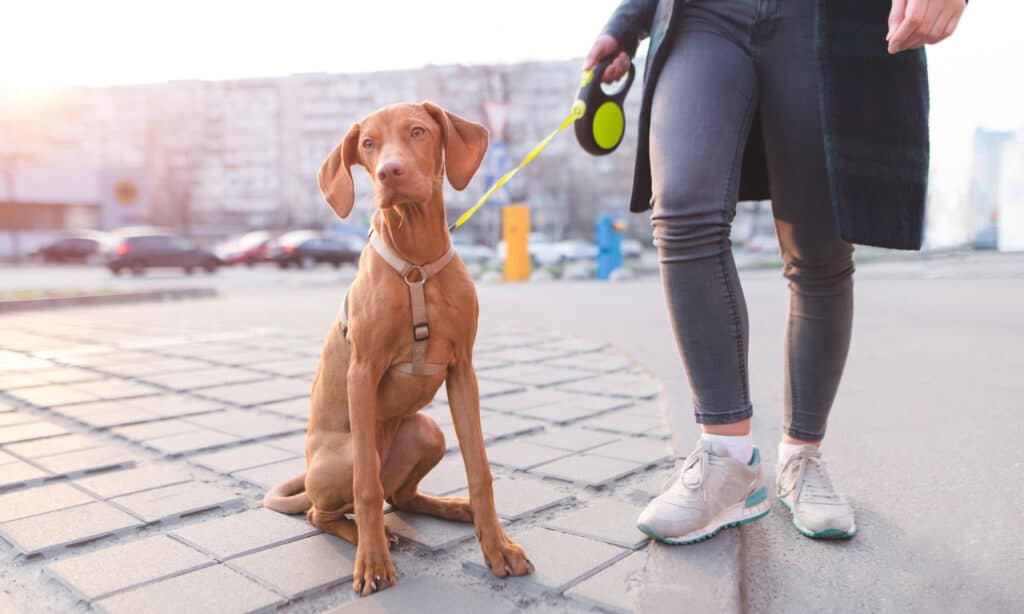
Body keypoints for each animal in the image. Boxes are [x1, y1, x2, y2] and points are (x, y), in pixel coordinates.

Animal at [264, 100, 536, 593]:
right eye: (369, 144)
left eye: (418, 131)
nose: (389, 171)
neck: (416, 260)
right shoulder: (362, 371)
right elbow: (366, 491)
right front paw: (372, 562)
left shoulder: (463, 370)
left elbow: (479, 470)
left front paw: (497, 547)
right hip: (349, 455)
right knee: (331, 508)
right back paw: (370, 538)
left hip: (426, 430)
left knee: (401, 496)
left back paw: (453, 508)